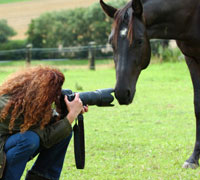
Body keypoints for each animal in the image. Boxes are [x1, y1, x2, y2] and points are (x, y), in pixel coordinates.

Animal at [101, 0, 200, 169]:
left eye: (139, 41)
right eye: (111, 42)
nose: (121, 93)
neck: (192, 13)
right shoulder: (191, 59)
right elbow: (198, 106)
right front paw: (193, 159)